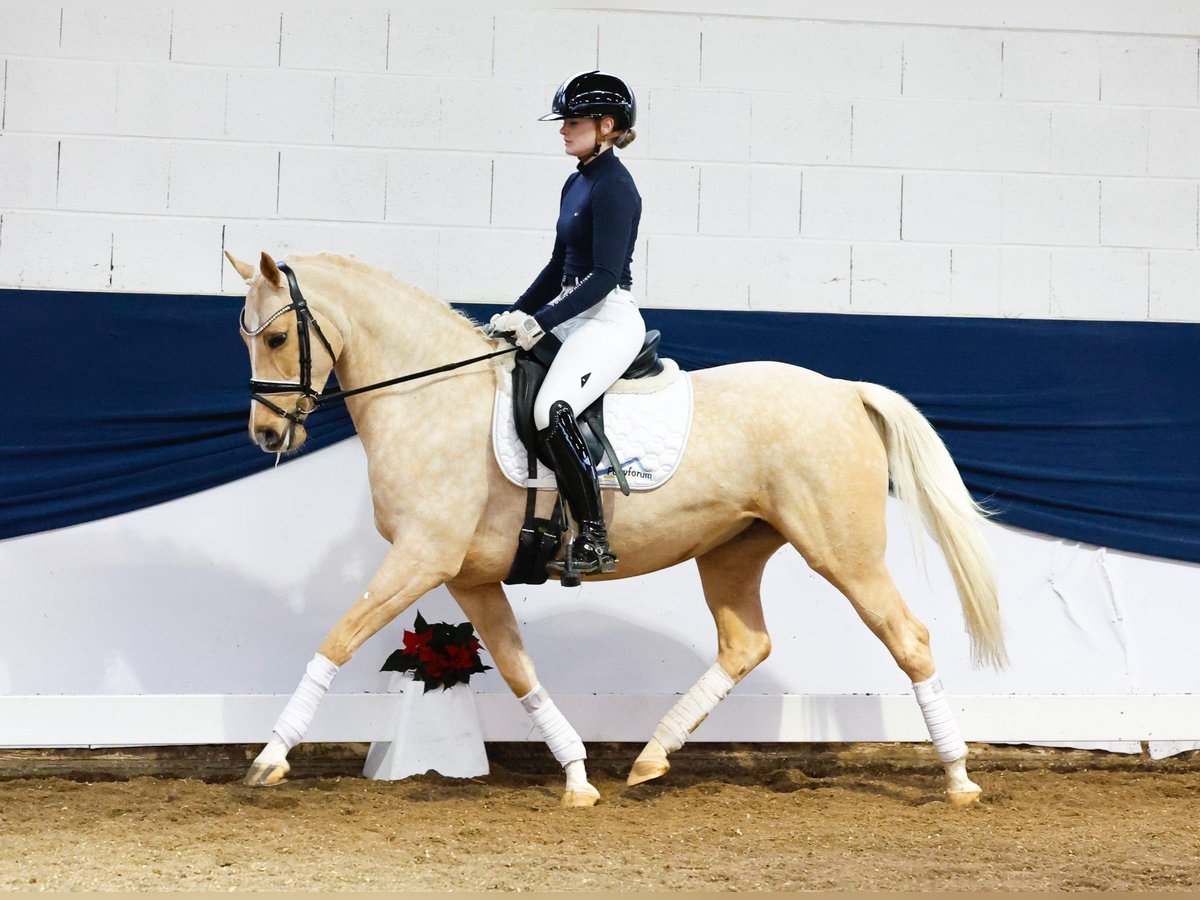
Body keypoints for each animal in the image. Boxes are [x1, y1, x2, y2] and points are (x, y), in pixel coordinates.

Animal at [225, 248, 1003, 811]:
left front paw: (269, 759)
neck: (432, 397)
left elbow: (338, 638)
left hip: (844, 552)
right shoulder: (469, 576)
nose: (266, 435)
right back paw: (651, 757)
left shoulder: (422, 557)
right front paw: (576, 777)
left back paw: (959, 778)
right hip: (732, 551)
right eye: (246, 338)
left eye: (279, 335)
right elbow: (519, 671)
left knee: (908, 637)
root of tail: (844, 390)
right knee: (746, 644)